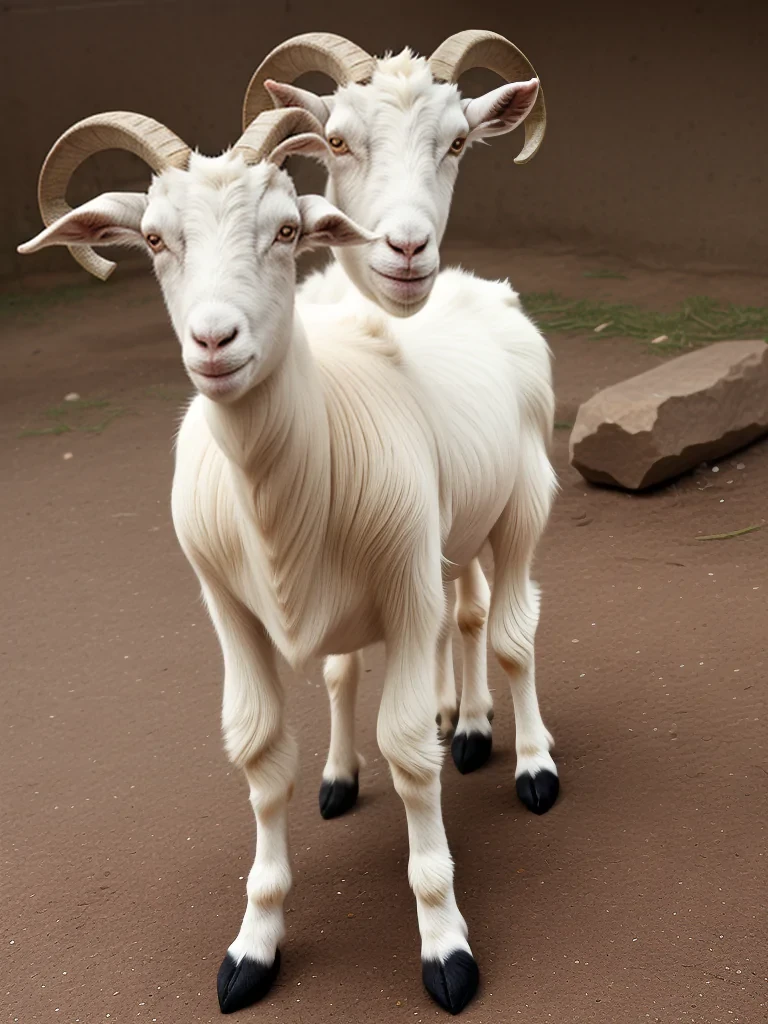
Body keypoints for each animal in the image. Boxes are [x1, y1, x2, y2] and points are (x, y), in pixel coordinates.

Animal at [20, 106, 558, 1016]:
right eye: (155, 240)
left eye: (285, 231)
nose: (214, 340)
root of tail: (469, 283)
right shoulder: (231, 612)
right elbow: (262, 754)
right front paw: (254, 946)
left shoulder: (404, 585)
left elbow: (408, 756)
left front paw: (446, 946)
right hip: (450, 538)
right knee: (459, 616)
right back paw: (453, 725)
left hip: (521, 504)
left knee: (513, 632)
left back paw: (528, 760)